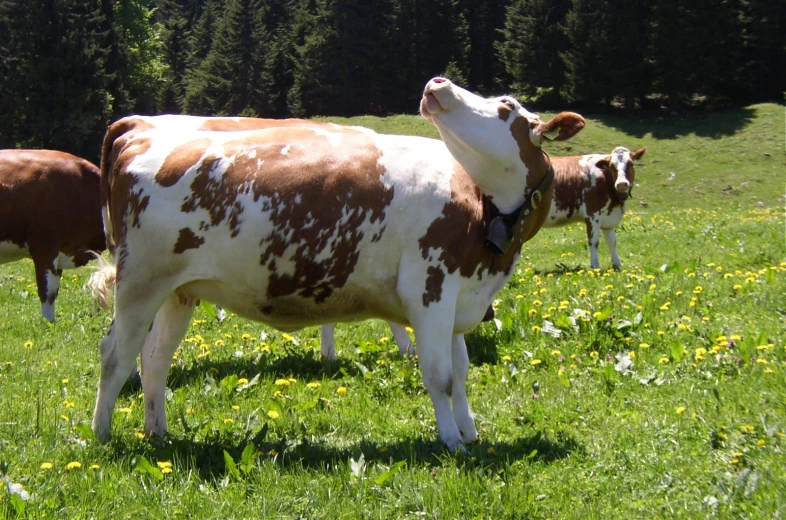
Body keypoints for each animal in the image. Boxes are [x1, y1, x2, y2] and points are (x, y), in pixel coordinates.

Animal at [90, 79, 580, 448]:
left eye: (506, 107)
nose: (438, 82)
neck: (479, 207)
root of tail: (138, 126)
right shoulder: (431, 291)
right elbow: (439, 375)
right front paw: (451, 443)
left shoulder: (461, 298)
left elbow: (460, 374)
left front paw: (470, 433)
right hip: (140, 283)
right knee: (116, 355)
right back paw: (102, 437)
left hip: (179, 290)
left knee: (154, 359)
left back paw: (158, 432)